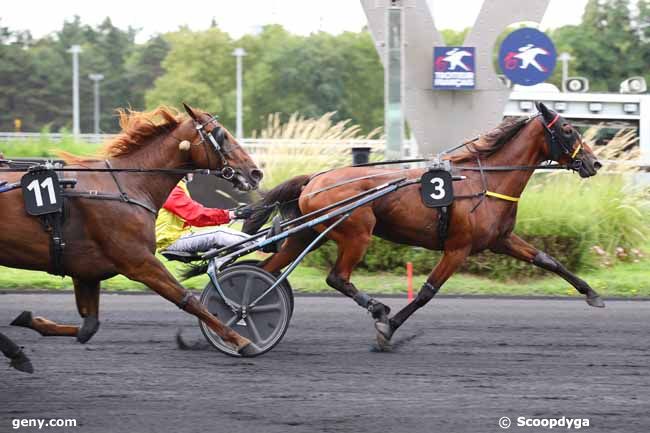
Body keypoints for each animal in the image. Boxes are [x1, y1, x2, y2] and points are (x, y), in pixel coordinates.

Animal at [0, 102, 264, 372]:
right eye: (221, 134)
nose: (255, 172)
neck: (128, 185)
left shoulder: (86, 272)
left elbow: (88, 327)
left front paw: (31, 320)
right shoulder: (138, 261)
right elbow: (187, 298)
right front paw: (241, 340)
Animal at [243, 102, 604, 348]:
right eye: (568, 129)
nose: (595, 162)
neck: (484, 181)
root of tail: (315, 178)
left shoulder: (501, 239)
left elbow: (548, 259)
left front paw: (592, 294)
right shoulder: (458, 247)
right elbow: (428, 291)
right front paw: (388, 328)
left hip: (308, 233)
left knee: (269, 272)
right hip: (356, 233)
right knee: (336, 277)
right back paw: (376, 309)